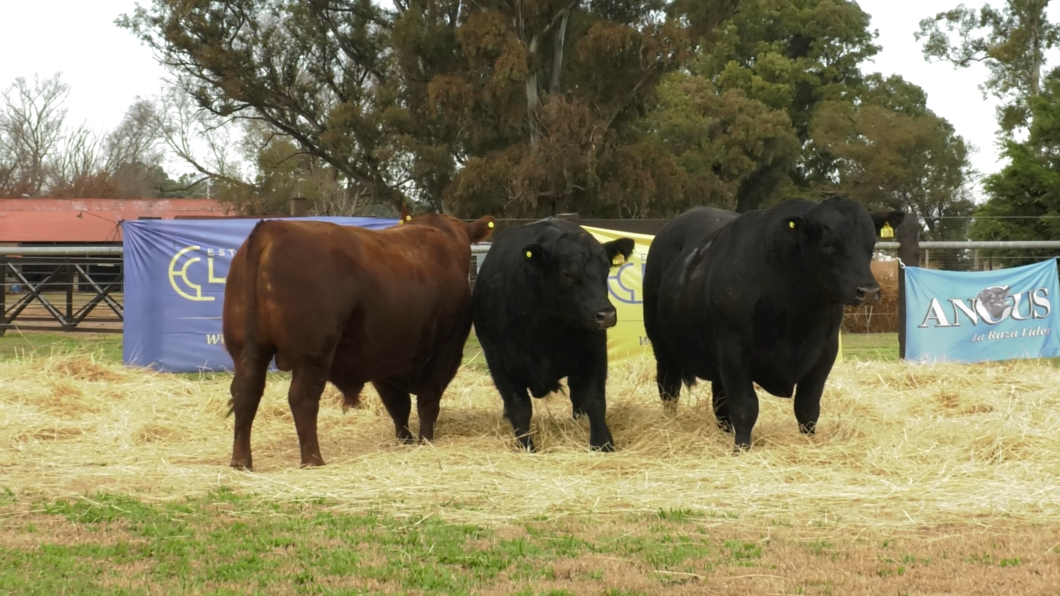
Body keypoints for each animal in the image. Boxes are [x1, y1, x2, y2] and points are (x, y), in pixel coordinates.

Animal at [635, 197, 903, 447]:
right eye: (827, 244)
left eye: (870, 244)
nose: (868, 291)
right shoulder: (733, 352)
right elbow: (745, 408)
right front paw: (741, 449)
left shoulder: (825, 353)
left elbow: (807, 408)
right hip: (663, 348)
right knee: (669, 389)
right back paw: (671, 425)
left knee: (719, 403)